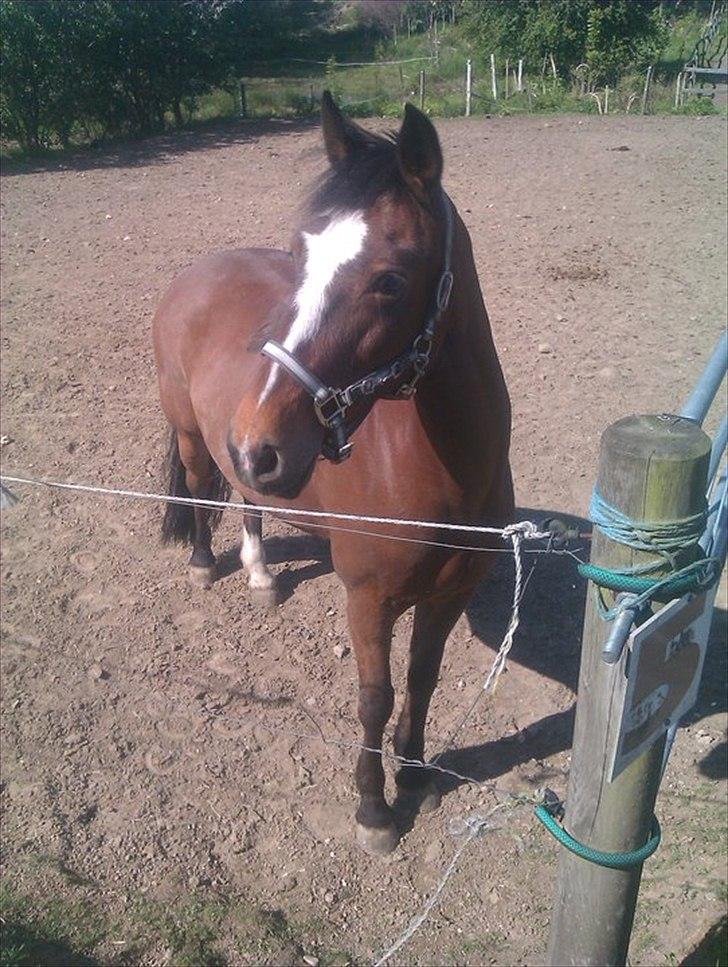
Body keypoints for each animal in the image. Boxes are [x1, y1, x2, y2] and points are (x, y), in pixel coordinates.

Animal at [155, 94, 512, 856]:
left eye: (390, 280)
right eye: (300, 257)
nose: (259, 439)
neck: (439, 476)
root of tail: (196, 273)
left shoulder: (451, 592)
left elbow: (423, 678)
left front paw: (415, 775)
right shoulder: (369, 600)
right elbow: (375, 697)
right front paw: (374, 809)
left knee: (250, 502)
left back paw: (261, 574)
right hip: (197, 436)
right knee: (200, 490)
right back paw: (204, 562)